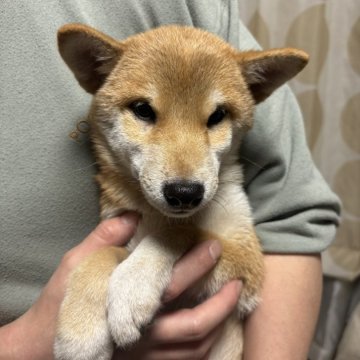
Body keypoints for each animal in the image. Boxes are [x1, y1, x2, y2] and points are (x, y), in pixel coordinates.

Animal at [54, 23, 308, 358]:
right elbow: (103, 252)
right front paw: (80, 331)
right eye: (142, 110)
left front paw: (133, 284)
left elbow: (180, 232)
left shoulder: (247, 264)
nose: (185, 192)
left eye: (218, 115)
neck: (154, 214)